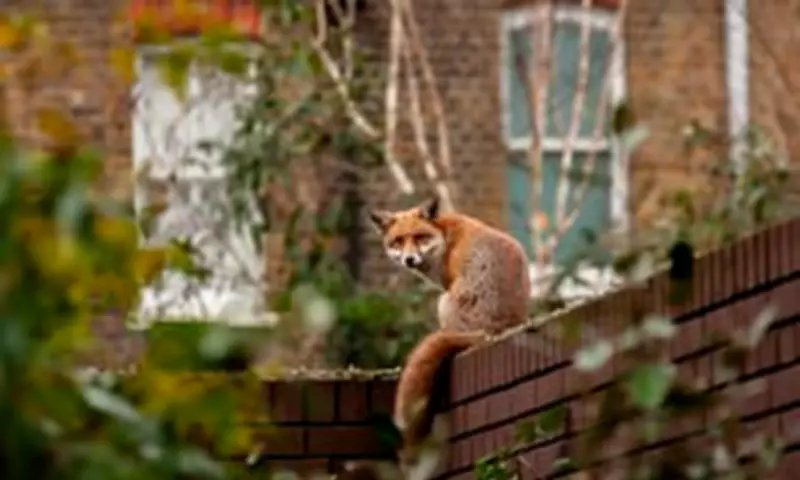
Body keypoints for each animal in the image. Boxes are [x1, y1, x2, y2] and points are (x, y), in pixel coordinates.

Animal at [368, 196, 531, 478]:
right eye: (398, 241)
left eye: (419, 237)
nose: (409, 259)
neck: (444, 236)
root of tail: (494, 331)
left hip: (442, 303)